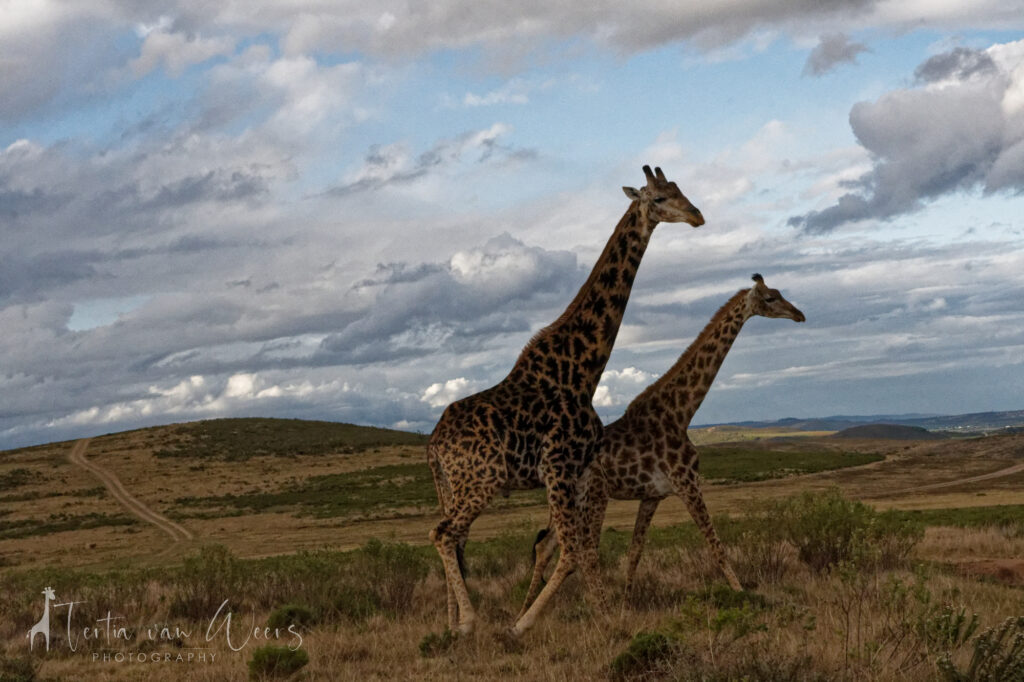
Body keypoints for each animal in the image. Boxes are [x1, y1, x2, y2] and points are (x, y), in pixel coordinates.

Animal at [425, 166, 704, 634]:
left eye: (680, 190)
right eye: (660, 198)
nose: (697, 216)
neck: (583, 370)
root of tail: (432, 445)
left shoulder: (580, 470)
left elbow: (582, 549)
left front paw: (604, 616)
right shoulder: (558, 465)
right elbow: (573, 550)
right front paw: (537, 624)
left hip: (453, 485)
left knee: (450, 536)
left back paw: (450, 624)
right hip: (481, 481)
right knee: (444, 534)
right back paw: (470, 622)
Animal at [524, 270, 802, 606]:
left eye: (781, 293)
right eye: (771, 298)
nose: (799, 315)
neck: (681, 413)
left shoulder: (653, 495)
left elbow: (635, 553)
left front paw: (626, 603)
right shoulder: (688, 483)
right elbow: (716, 545)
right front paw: (742, 594)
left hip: (568, 503)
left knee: (547, 547)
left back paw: (527, 607)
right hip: (594, 497)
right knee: (585, 551)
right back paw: (594, 606)